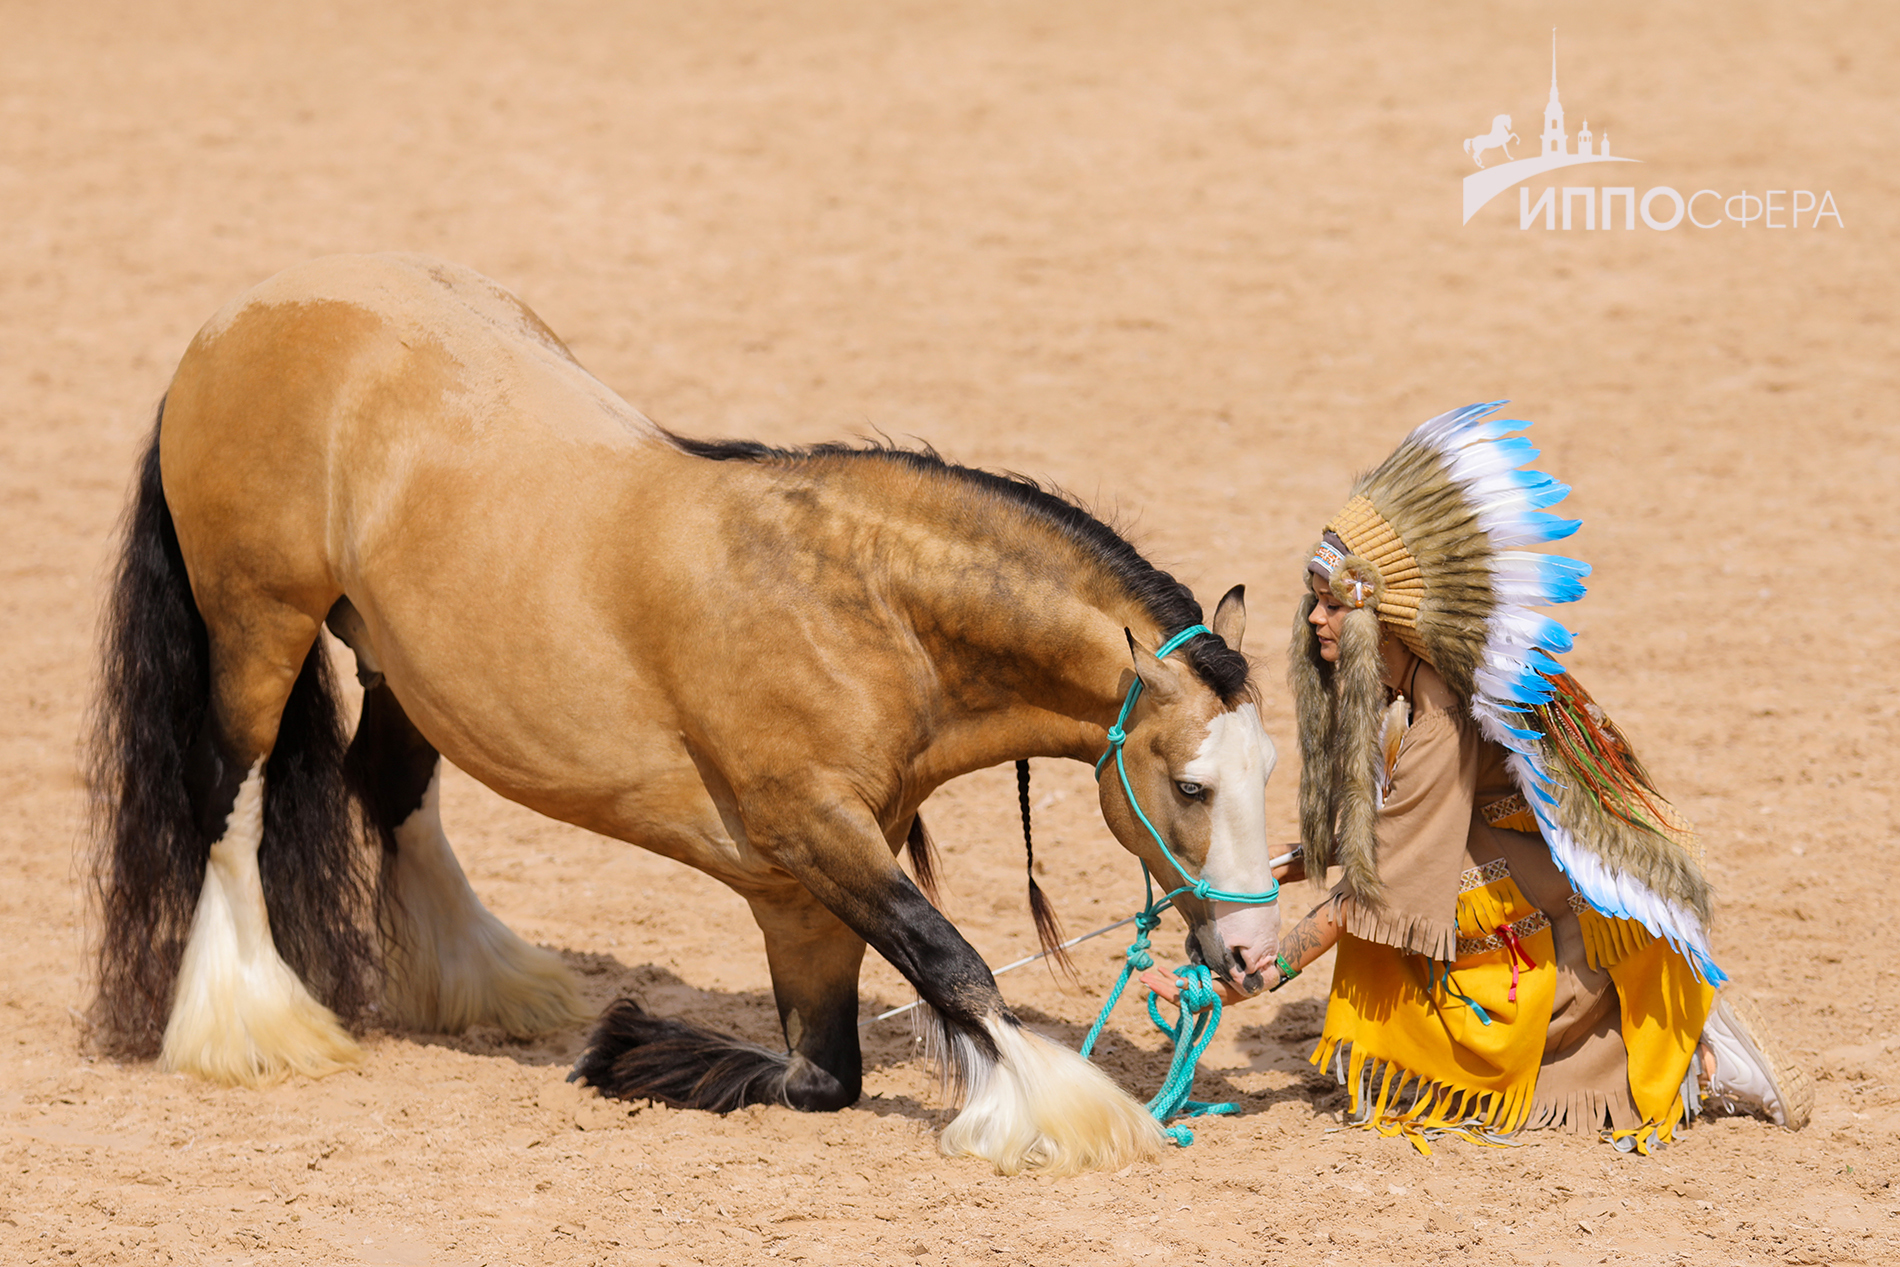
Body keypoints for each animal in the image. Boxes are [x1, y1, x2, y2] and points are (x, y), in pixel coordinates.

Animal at [85, 252, 1276, 1177]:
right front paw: (1064, 1117)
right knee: (228, 800)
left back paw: (487, 982)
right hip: (260, 625)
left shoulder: (806, 892)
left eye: (1270, 771)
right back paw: (252, 1025)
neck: (856, 611)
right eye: (1188, 783)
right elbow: (953, 965)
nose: (1256, 955)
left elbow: (824, 1073)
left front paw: (637, 1050)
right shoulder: (813, 835)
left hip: (398, 663)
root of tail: (238, 317)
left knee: (388, 788)